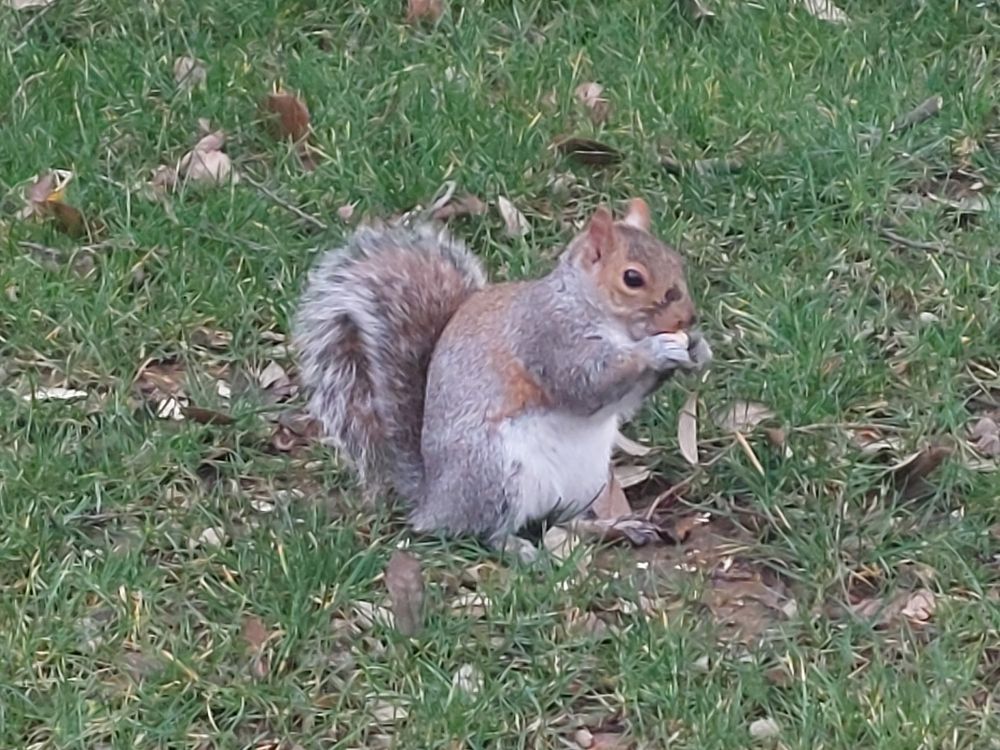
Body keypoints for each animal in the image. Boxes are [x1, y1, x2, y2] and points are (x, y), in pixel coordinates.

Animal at [293, 198, 712, 560]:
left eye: (675, 260)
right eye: (632, 278)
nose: (688, 318)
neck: (595, 310)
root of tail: (433, 500)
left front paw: (696, 348)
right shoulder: (548, 338)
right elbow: (586, 385)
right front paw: (656, 351)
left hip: (586, 481)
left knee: (564, 519)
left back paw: (614, 526)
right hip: (495, 474)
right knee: (486, 530)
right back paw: (518, 549)